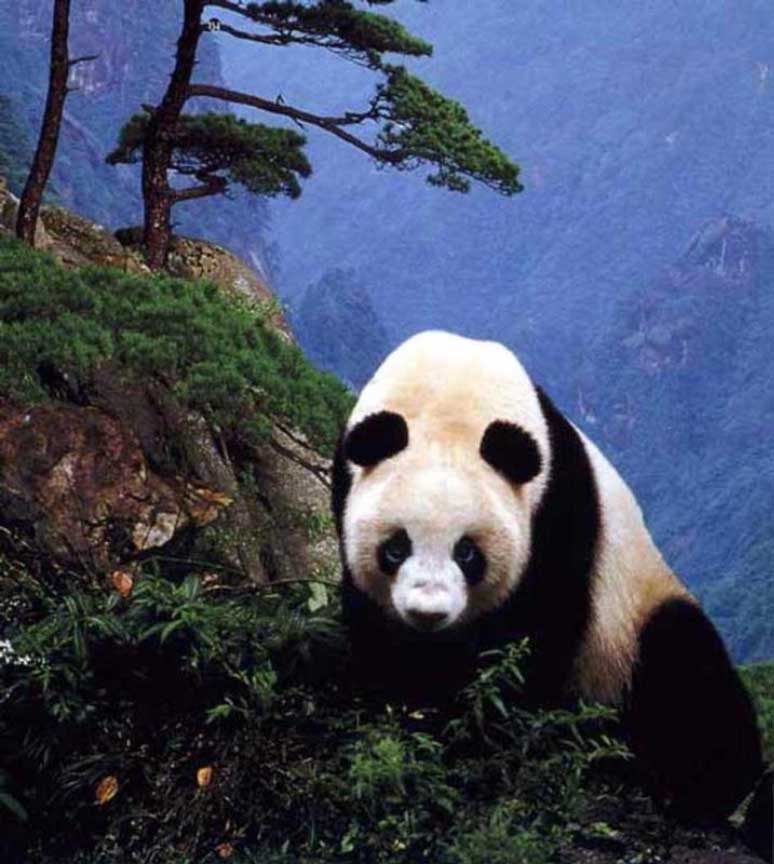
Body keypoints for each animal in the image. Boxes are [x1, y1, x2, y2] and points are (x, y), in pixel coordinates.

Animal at [332, 330, 768, 836]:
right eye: (396, 548)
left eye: (467, 553)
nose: (429, 612)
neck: (451, 391)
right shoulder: (346, 480)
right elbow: (372, 620)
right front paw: (402, 699)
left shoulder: (557, 513)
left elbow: (538, 634)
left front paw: (481, 729)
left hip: (631, 627)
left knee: (684, 670)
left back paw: (692, 786)